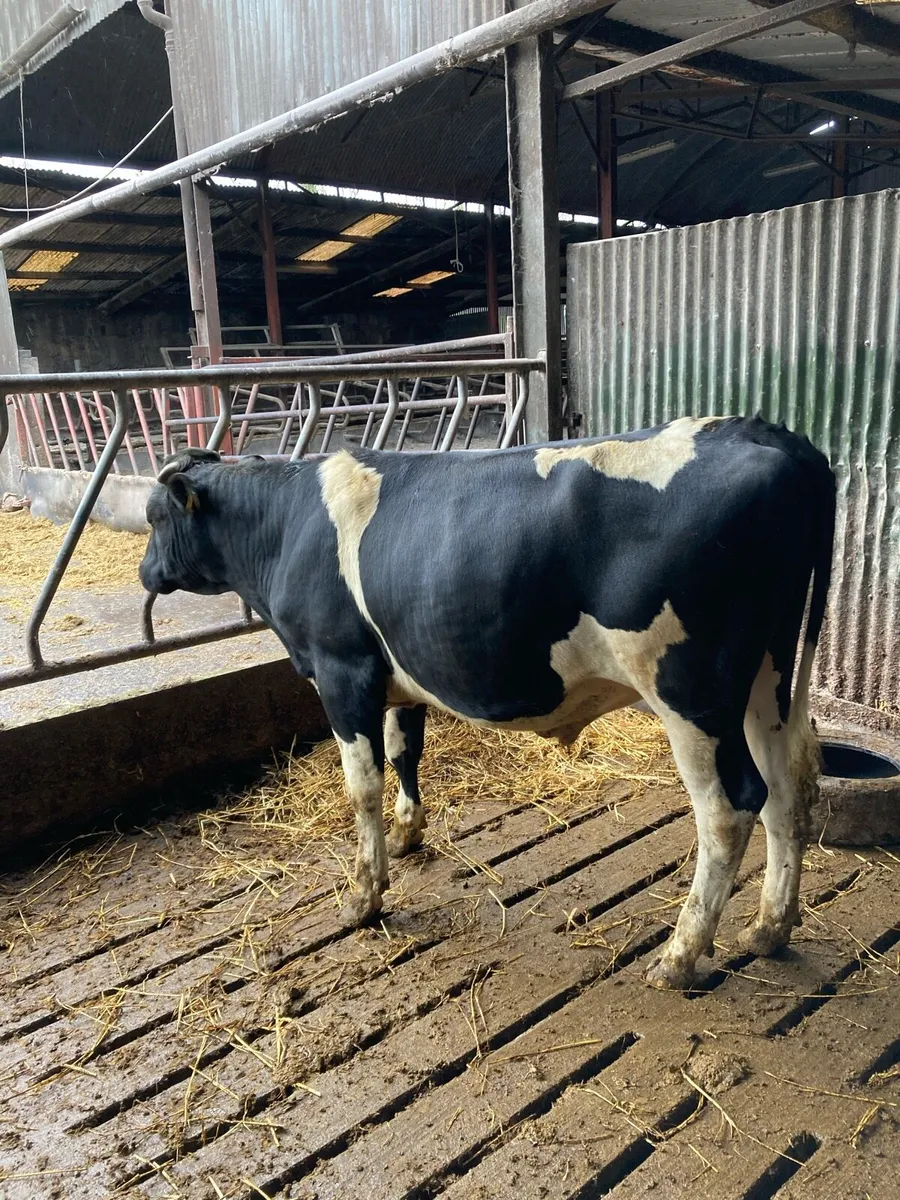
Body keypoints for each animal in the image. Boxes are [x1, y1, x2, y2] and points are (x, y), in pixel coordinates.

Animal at [139, 415, 835, 990]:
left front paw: (363, 896)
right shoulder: (399, 669)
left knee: (730, 808)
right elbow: (406, 751)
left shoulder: (341, 671)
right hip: (769, 675)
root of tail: (766, 434)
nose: (146, 573)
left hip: (691, 693)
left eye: (153, 518)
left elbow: (361, 786)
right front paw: (406, 835)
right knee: (789, 784)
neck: (286, 525)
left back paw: (679, 956)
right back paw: (770, 927)